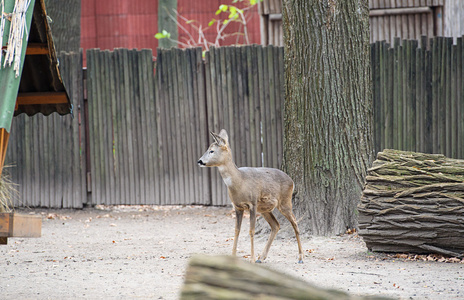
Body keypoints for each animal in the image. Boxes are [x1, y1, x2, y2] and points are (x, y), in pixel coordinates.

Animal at [197, 129, 302, 262]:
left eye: (211, 150)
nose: (199, 161)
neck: (240, 182)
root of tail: (292, 181)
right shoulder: (237, 207)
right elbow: (236, 230)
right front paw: (233, 257)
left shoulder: (252, 203)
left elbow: (251, 231)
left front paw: (251, 259)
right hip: (264, 209)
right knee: (276, 225)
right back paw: (261, 257)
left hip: (285, 202)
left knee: (295, 222)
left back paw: (300, 257)